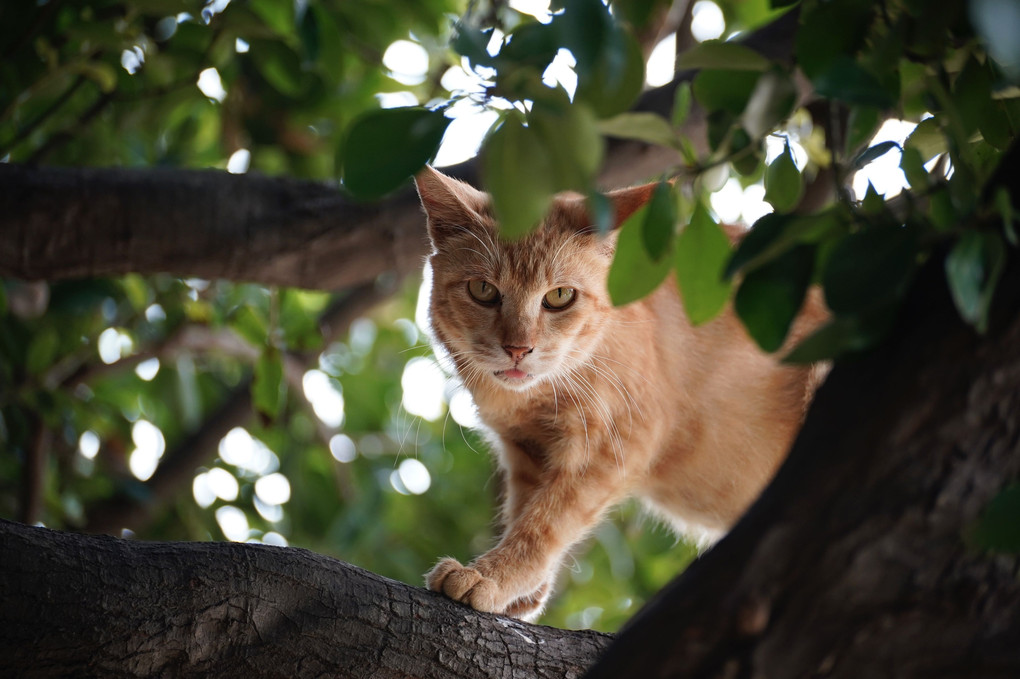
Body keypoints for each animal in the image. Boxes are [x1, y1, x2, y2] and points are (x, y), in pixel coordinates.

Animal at [410, 168, 824, 619]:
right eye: (483, 290)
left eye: (559, 296)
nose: (518, 349)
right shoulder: (527, 452)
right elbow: (524, 510)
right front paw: (523, 591)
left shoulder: (616, 444)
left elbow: (545, 523)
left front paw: (493, 575)